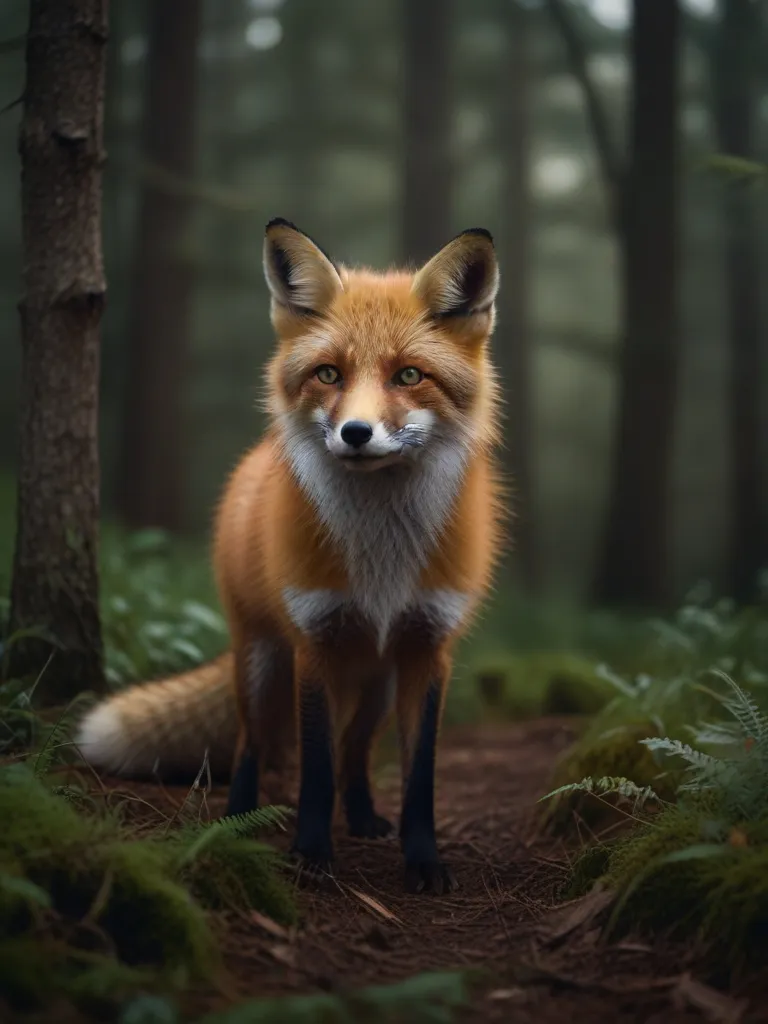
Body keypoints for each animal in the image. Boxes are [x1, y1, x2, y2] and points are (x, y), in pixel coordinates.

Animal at [76, 220, 505, 892]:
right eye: (329, 374)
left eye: (409, 376)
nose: (355, 433)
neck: (380, 557)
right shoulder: (315, 641)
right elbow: (314, 766)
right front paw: (310, 855)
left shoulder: (428, 649)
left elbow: (418, 776)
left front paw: (422, 859)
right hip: (260, 656)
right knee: (253, 744)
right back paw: (239, 817)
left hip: (378, 678)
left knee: (357, 747)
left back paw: (362, 816)